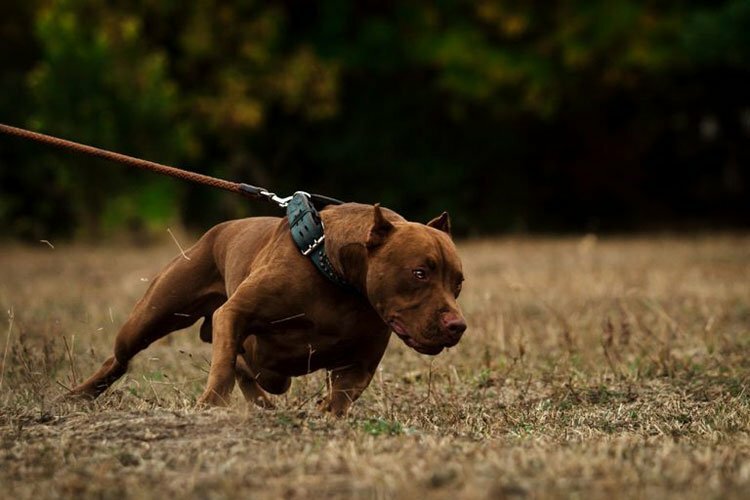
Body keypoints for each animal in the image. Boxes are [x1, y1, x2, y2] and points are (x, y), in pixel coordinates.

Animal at [73, 201, 468, 416]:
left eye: (458, 283)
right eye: (419, 273)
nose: (457, 326)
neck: (341, 281)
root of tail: (220, 228)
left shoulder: (362, 361)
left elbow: (342, 394)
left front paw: (326, 413)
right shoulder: (234, 313)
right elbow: (221, 369)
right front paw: (210, 406)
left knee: (249, 368)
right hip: (151, 316)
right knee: (120, 358)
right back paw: (79, 394)